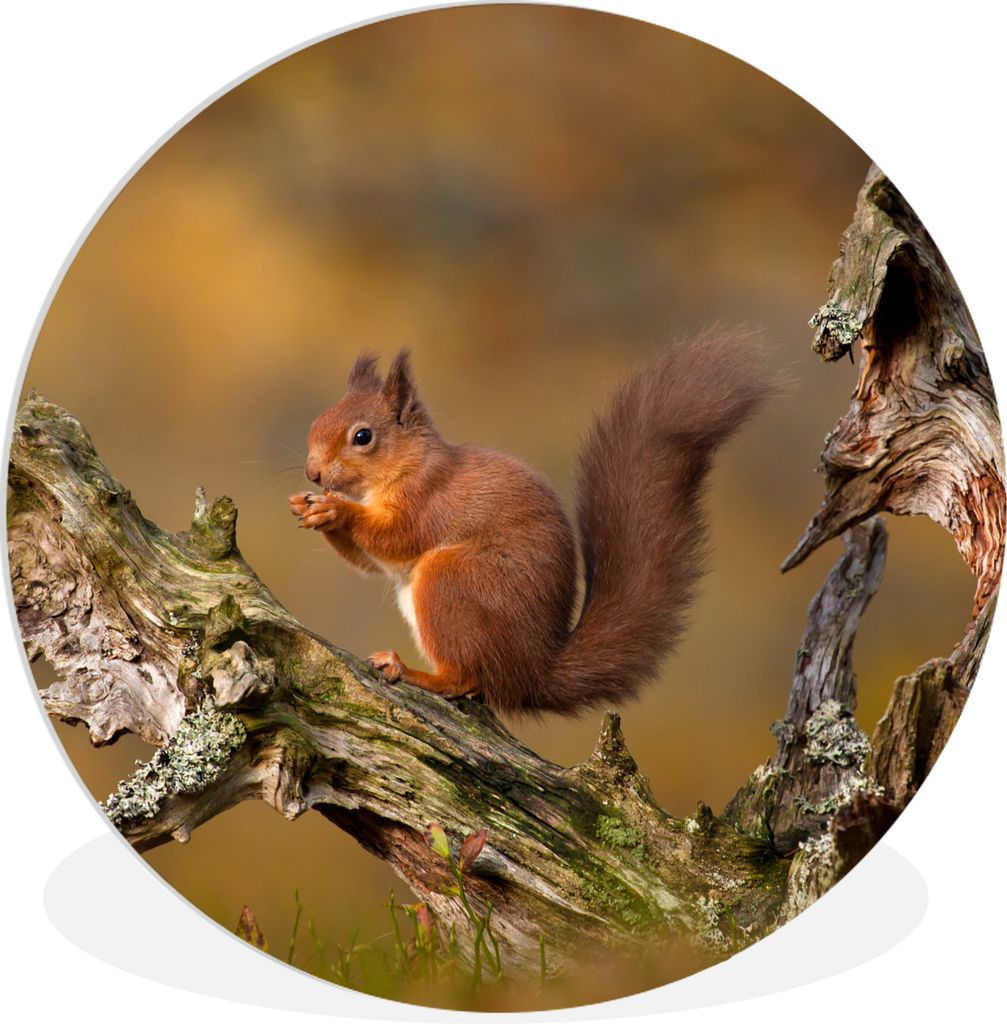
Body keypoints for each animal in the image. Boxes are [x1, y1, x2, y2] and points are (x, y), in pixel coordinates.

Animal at [289, 332, 769, 715]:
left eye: (363, 436)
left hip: (452, 580)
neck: (408, 465)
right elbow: (370, 564)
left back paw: (412, 672)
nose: (312, 473)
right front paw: (309, 507)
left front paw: (337, 510)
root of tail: (532, 673)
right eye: (316, 423)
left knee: (465, 677)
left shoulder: (428, 501)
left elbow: (397, 539)